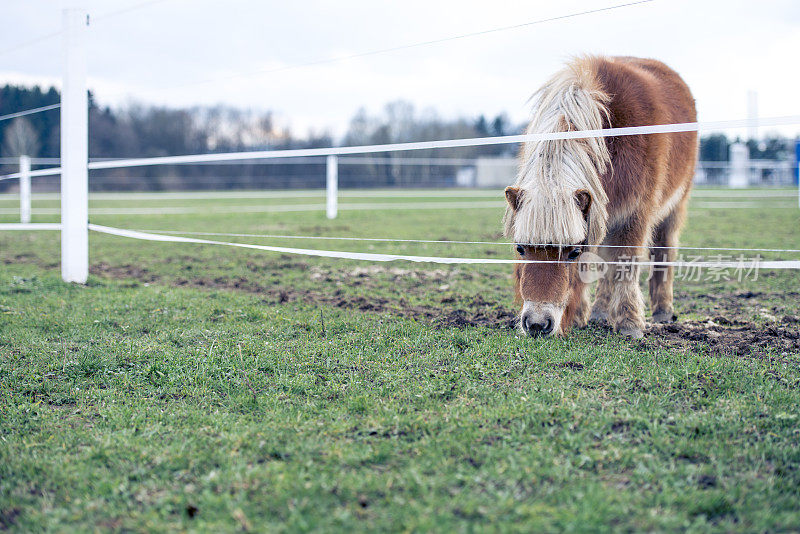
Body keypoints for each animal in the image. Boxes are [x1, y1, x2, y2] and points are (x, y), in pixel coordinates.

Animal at [504, 57, 696, 340]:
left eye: (573, 252)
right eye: (520, 248)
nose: (537, 325)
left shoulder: (634, 215)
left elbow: (627, 264)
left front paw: (630, 324)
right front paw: (581, 316)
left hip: (674, 208)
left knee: (664, 250)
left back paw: (662, 311)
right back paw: (600, 312)